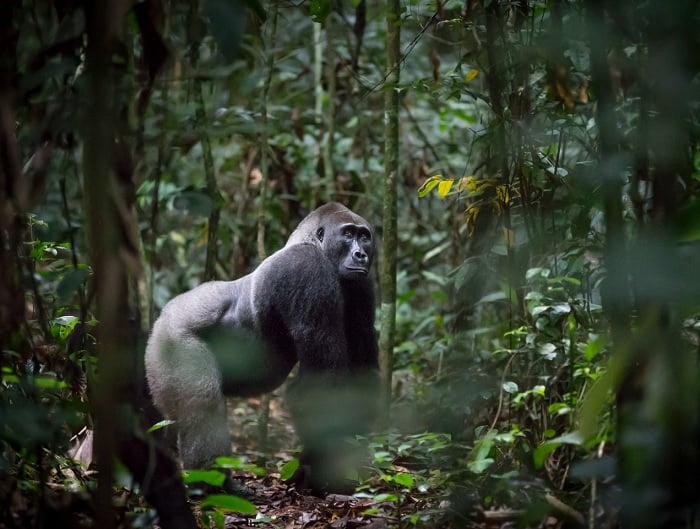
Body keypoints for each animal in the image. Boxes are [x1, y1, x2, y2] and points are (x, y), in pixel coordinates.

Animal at [145, 202, 378, 495]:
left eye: (365, 237)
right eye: (347, 234)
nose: (361, 255)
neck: (308, 241)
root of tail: (163, 315)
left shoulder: (362, 286)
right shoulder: (306, 268)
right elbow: (322, 385)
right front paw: (318, 469)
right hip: (171, 339)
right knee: (202, 401)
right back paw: (212, 483)